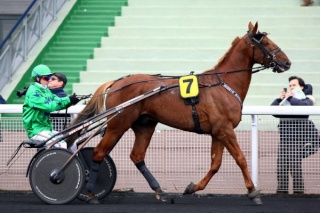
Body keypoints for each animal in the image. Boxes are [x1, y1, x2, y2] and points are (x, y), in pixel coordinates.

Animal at [66, 22, 292, 205]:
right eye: (267, 42)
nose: (287, 62)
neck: (223, 84)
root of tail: (115, 82)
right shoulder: (225, 130)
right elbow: (240, 158)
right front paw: (253, 192)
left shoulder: (218, 131)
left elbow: (215, 164)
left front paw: (193, 187)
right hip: (118, 124)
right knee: (98, 153)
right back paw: (91, 194)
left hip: (144, 125)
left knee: (137, 156)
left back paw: (160, 191)